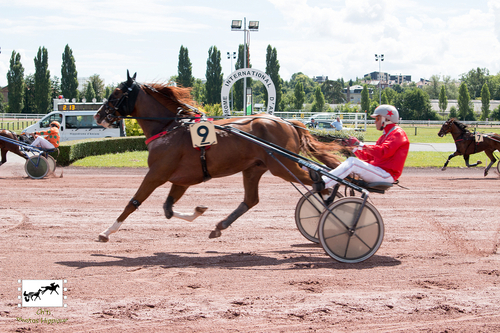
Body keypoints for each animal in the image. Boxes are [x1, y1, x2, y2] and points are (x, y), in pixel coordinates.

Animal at [94, 70, 344, 241]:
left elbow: (133, 202)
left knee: (318, 180)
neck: (169, 127)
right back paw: (220, 226)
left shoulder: (156, 174)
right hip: (255, 168)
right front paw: (198, 211)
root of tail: (287, 122)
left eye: (116, 93)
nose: (98, 115)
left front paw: (107, 231)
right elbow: (168, 210)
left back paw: (334, 206)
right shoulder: (182, 179)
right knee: (252, 200)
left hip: (283, 166)